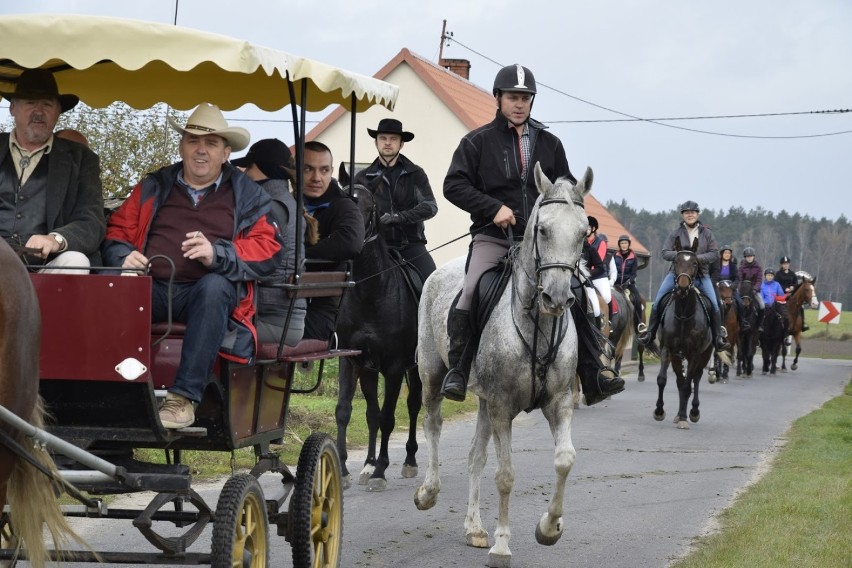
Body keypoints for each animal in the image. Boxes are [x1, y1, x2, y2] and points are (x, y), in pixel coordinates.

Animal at [334, 175, 424, 490]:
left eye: (370, 206)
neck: (372, 290)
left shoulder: (395, 366)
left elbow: (388, 417)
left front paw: (381, 471)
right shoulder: (350, 359)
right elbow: (346, 411)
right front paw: (345, 470)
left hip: (415, 367)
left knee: (413, 404)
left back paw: (409, 461)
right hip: (369, 370)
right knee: (371, 413)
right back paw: (367, 463)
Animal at [414, 163, 592, 568]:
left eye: (583, 232)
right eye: (542, 230)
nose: (557, 298)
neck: (537, 324)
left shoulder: (559, 402)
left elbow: (564, 459)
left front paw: (549, 528)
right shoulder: (501, 407)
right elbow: (506, 475)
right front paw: (501, 547)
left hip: (481, 399)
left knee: (474, 457)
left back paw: (475, 529)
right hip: (432, 375)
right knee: (433, 424)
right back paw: (428, 492)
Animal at [656, 240, 716, 430]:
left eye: (695, 263)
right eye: (676, 261)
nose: (682, 287)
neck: (683, 315)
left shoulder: (694, 354)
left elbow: (688, 386)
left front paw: (684, 417)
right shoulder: (668, 349)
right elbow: (663, 379)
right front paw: (659, 411)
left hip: (705, 354)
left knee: (695, 379)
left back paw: (693, 412)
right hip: (677, 356)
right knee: (680, 381)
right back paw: (678, 414)